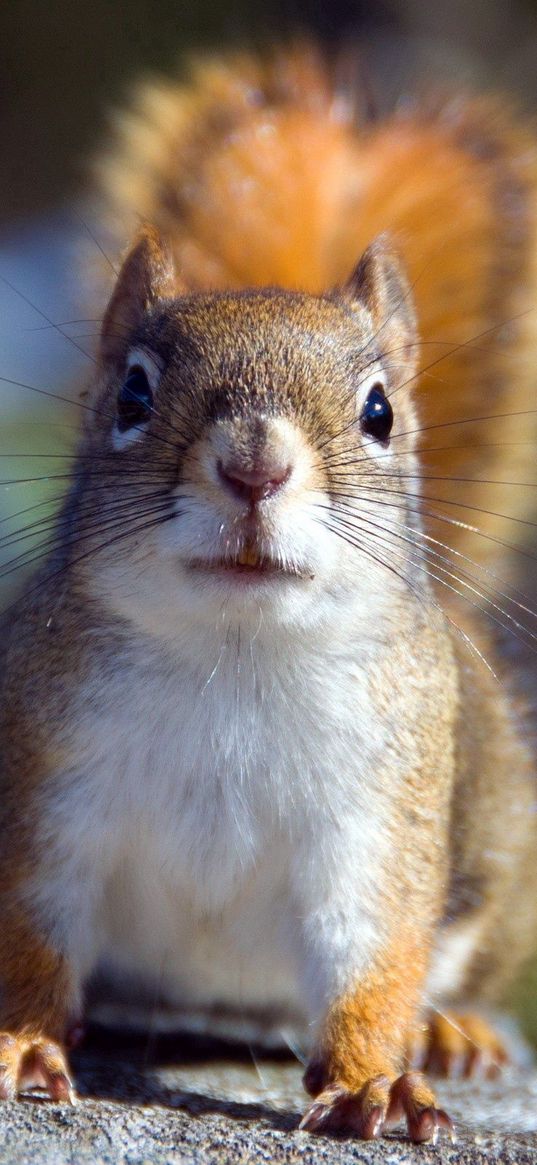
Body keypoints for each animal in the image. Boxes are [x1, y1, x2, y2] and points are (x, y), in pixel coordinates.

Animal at [1, 41, 535, 1141]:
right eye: (132, 391)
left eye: (379, 412)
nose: (254, 465)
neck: (236, 653)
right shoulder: (48, 792)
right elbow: (33, 932)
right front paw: (25, 1039)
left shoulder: (378, 825)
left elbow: (373, 956)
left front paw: (373, 1079)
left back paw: (449, 1031)